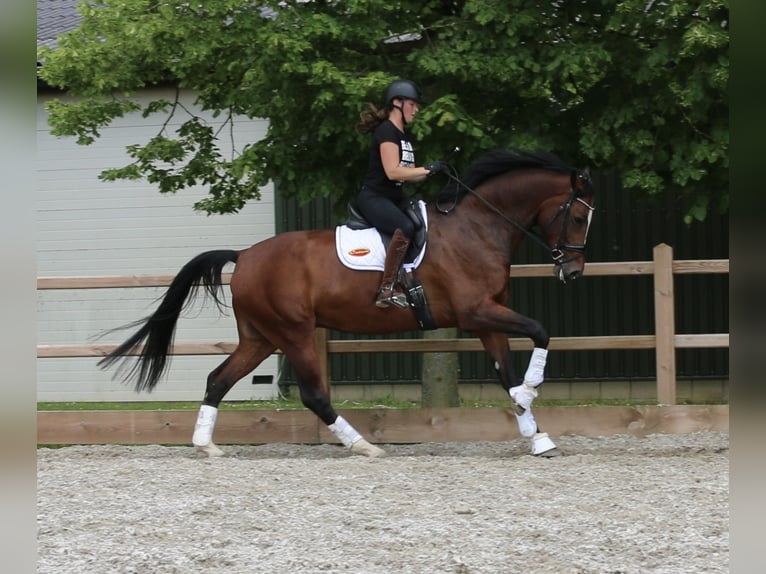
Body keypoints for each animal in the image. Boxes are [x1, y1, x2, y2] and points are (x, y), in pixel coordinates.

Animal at [99, 148, 596, 460]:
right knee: (314, 394)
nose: (573, 272)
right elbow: (540, 332)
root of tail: (245, 255)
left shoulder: (486, 319)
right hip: (294, 332)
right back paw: (364, 446)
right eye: (576, 215)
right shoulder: (477, 312)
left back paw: (207, 446)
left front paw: (536, 436)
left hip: (261, 338)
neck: (477, 226)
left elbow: (506, 374)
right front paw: (532, 393)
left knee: (218, 379)